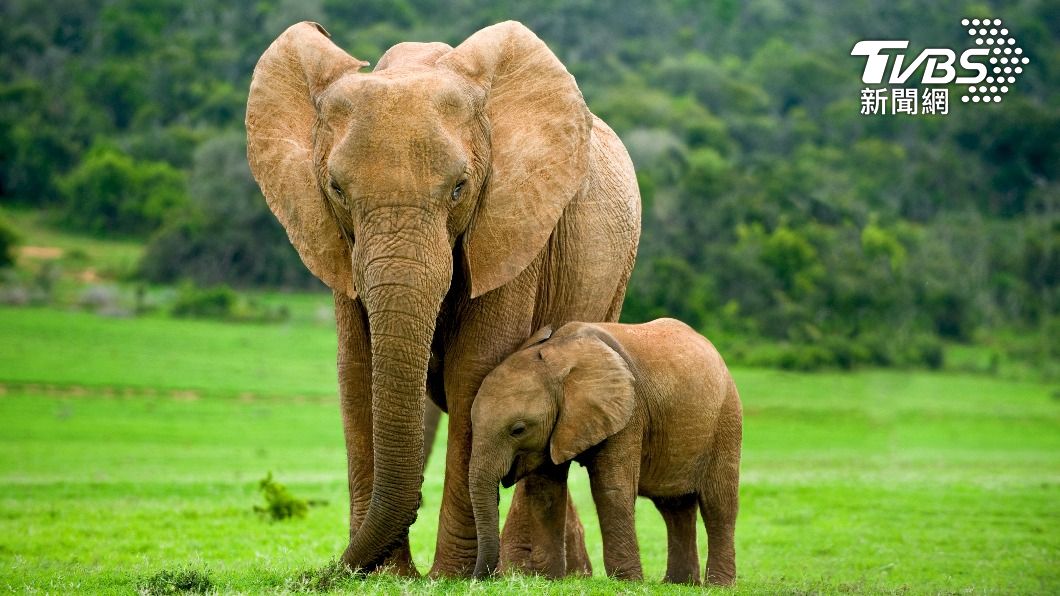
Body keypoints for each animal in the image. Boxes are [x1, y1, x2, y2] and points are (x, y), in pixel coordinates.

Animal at [245, 19, 635, 576]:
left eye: (459, 188)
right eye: (336, 189)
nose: (324, 574)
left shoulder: (512, 224)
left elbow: (476, 369)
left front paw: (450, 577)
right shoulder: (337, 243)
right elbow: (357, 370)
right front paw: (386, 577)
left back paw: (530, 572)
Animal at [468, 318, 741, 581]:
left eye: (518, 429)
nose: (478, 578)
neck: (558, 356)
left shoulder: (628, 412)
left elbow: (611, 488)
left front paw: (627, 582)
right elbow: (546, 491)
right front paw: (549, 579)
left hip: (727, 418)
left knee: (718, 504)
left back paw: (718, 585)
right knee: (674, 506)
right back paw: (679, 583)